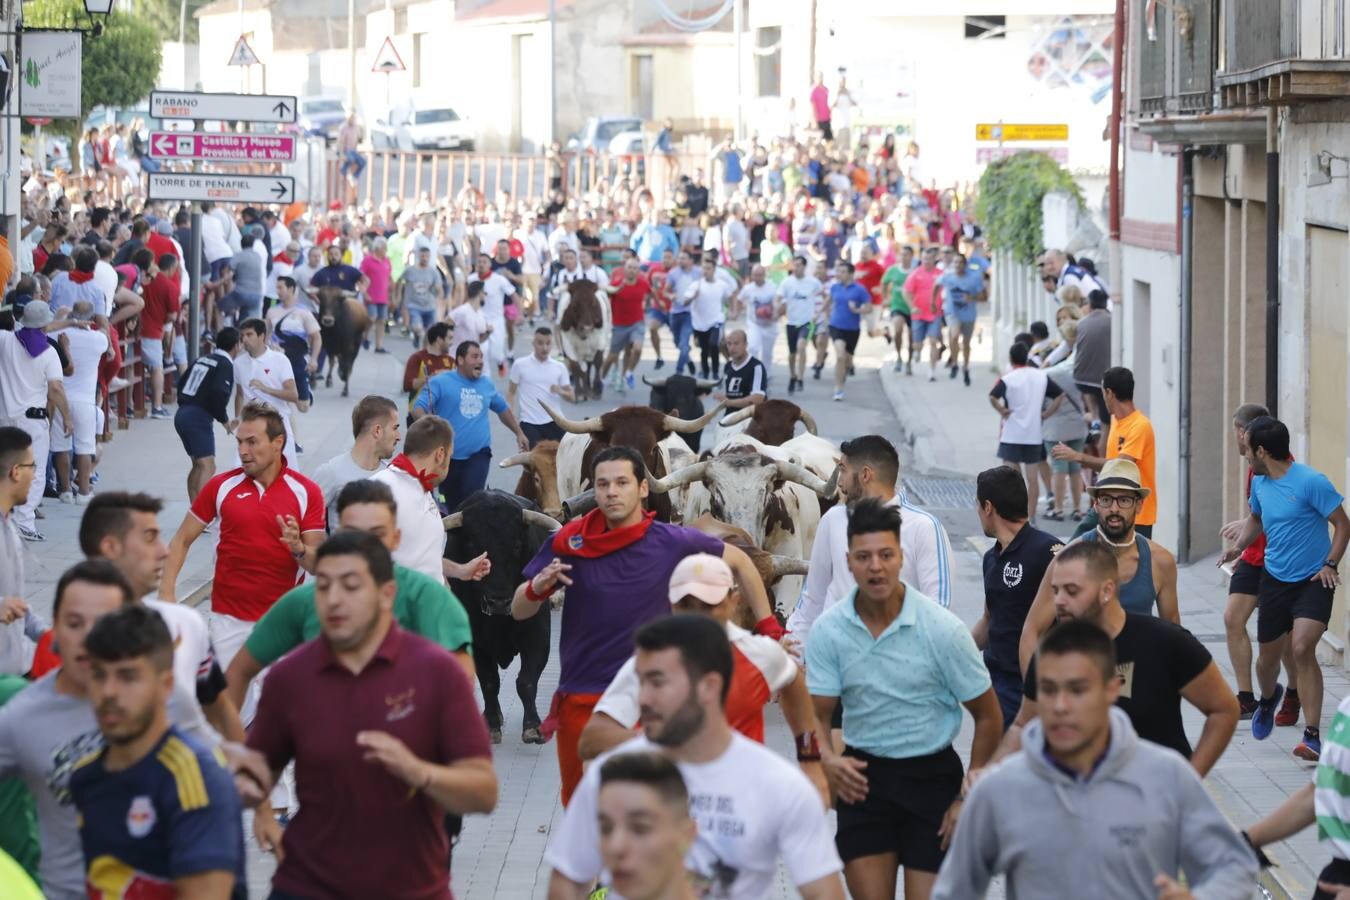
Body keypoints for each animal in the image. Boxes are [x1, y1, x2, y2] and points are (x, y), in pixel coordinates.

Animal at [440, 488, 550, 744]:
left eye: (517, 545)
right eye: (472, 544)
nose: (498, 601)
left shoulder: (538, 634)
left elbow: (526, 680)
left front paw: (533, 726)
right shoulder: (475, 642)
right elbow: (489, 682)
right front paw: (491, 726)